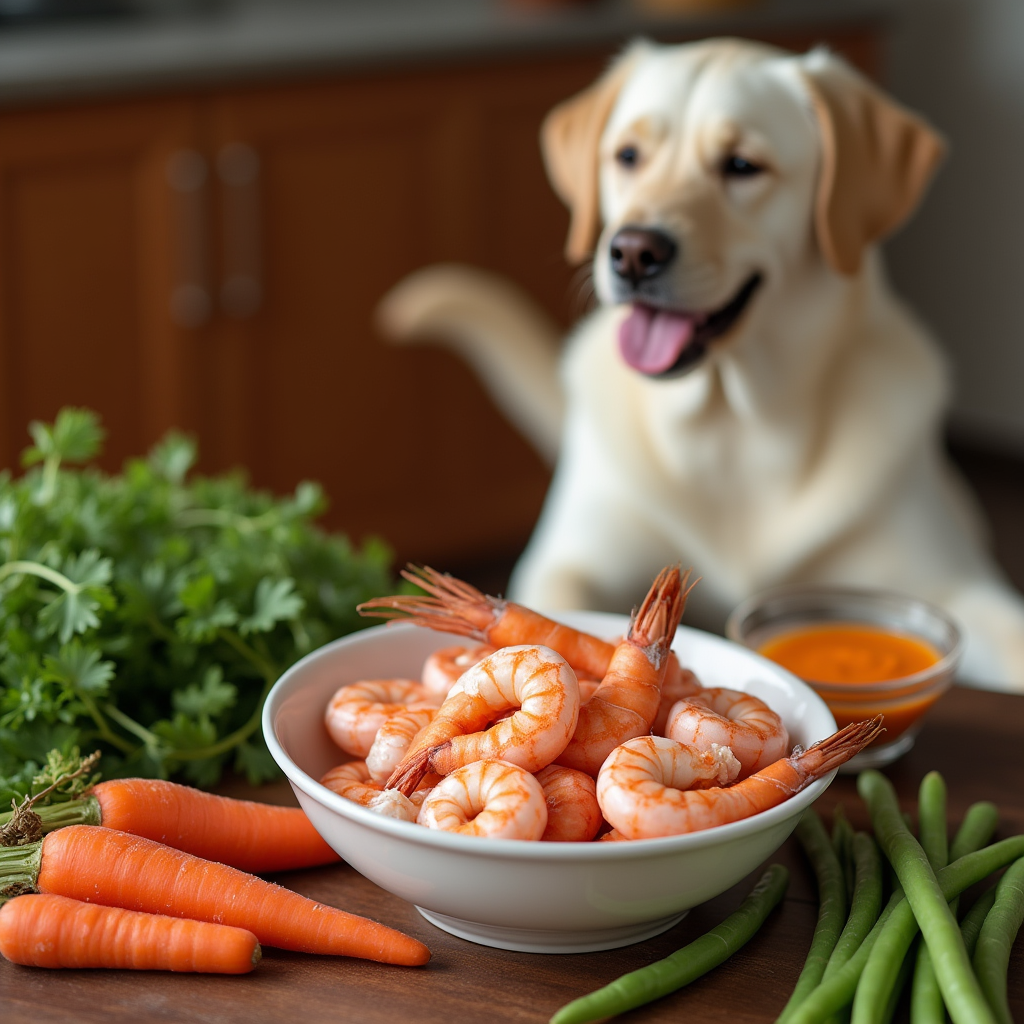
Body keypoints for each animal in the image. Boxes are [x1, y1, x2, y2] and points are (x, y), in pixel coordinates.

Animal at [380, 41, 1024, 696]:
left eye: (743, 165)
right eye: (628, 156)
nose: (633, 251)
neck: (731, 427)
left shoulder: (954, 587)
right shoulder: (568, 563)